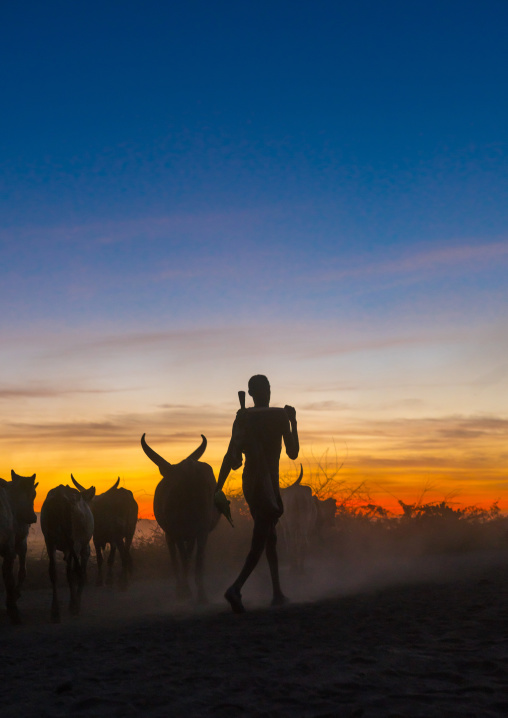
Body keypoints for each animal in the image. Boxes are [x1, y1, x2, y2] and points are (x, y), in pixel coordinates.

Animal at [40, 483, 95, 623]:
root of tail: (60, 497)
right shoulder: (83, 547)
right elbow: (77, 572)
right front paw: (75, 604)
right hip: (74, 542)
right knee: (75, 571)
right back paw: (74, 606)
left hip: (50, 541)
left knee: (53, 572)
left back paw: (55, 612)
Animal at [140, 433, 220, 602]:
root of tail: (190, 470)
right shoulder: (193, 533)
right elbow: (190, 557)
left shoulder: (173, 533)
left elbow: (179, 559)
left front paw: (183, 590)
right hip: (200, 530)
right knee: (197, 559)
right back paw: (201, 594)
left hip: (178, 531)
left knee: (184, 558)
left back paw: (189, 590)